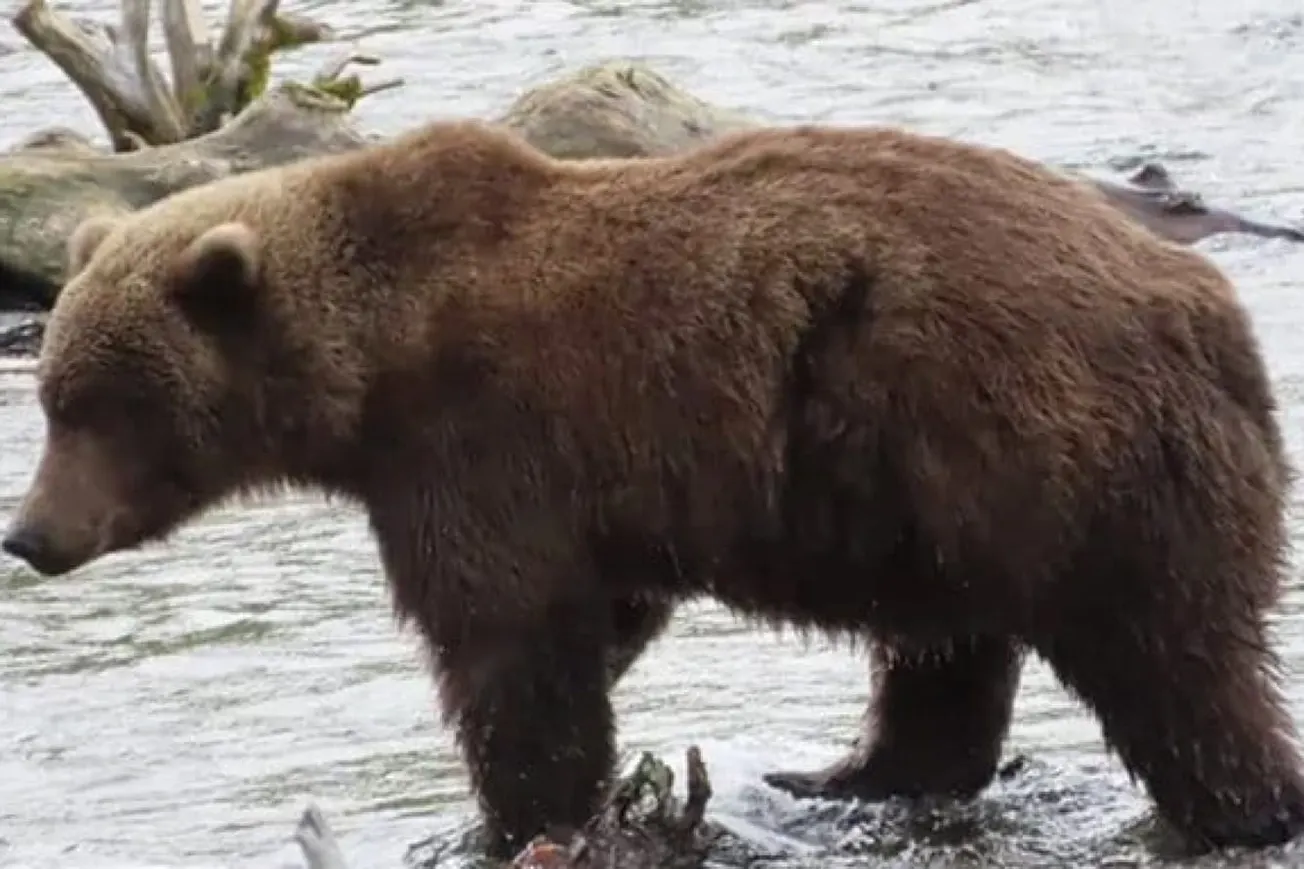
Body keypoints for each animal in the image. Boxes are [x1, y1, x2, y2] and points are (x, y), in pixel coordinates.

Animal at [3, 117, 1302, 858]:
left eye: (98, 403)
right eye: (56, 395)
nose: (30, 532)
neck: (375, 360)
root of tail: (1207, 307)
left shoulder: (479, 441)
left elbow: (510, 641)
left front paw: (514, 816)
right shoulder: (575, 486)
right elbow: (597, 612)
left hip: (1053, 442)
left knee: (1166, 659)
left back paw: (1242, 806)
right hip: (942, 489)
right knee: (949, 647)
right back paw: (847, 774)